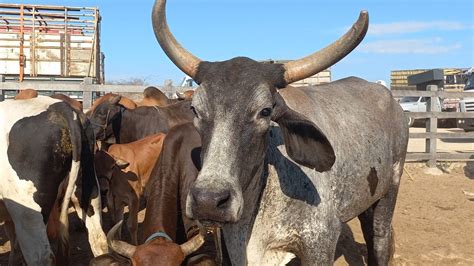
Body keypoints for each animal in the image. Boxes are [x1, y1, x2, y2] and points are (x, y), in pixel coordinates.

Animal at [151, 1, 408, 264]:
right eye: (195, 109)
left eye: (265, 111)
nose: (208, 201)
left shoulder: (320, 243)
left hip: (391, 189)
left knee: (379, 238)